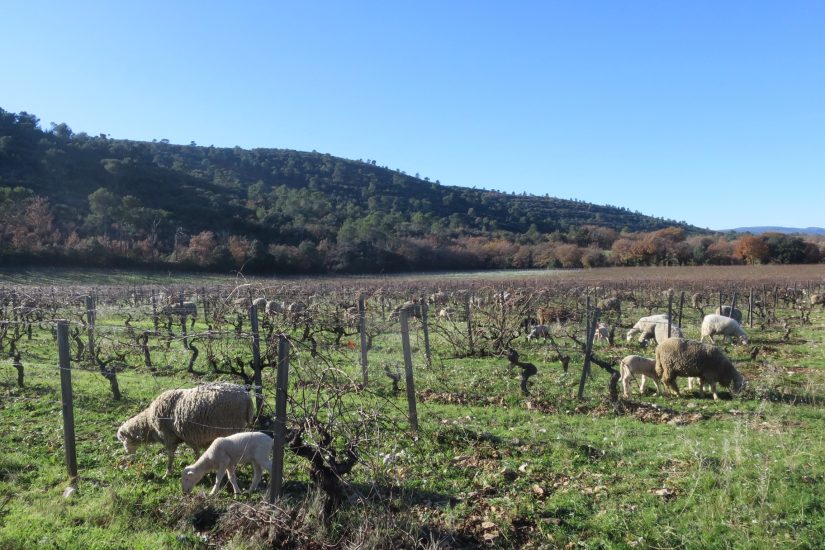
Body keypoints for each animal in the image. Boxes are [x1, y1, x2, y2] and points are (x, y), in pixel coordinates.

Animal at [117, 382, 253, 476]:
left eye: (123, 440)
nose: (127, 453)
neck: (149, 423)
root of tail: (247, 397)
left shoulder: (170, 437)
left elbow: (171, 455)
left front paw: (168, 472)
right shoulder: (188, 436)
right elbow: (196, 451)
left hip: (231, 427)